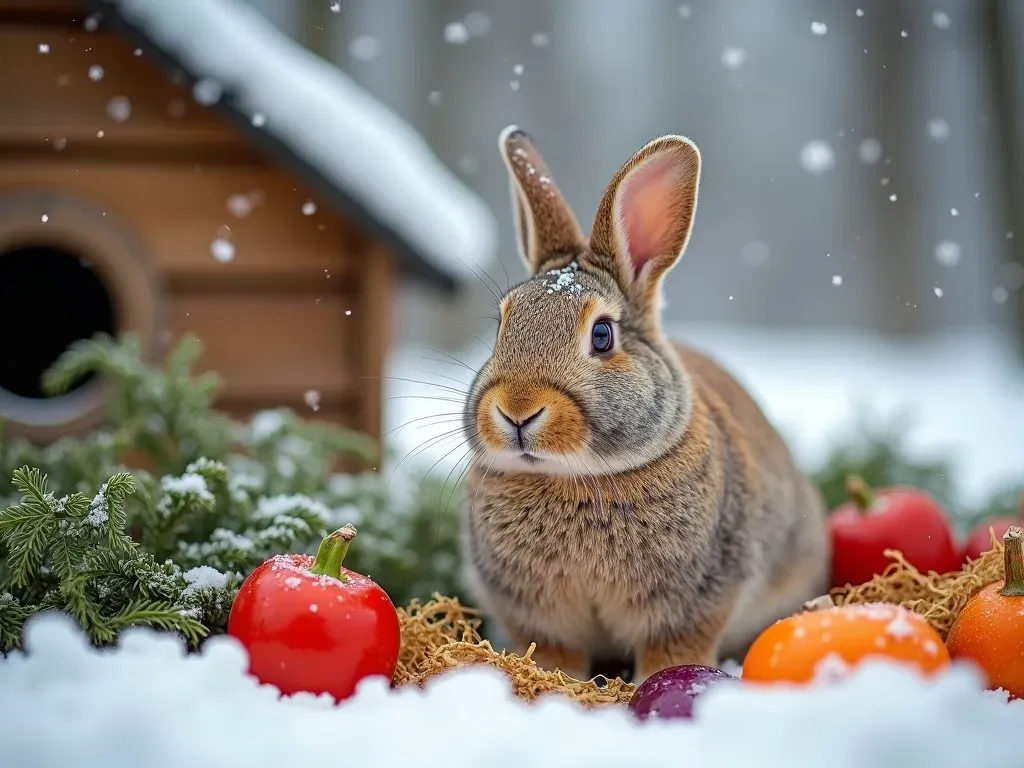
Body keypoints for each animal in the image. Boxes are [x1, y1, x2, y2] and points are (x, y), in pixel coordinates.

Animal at [460, 126, 827, 684]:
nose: (517, 411)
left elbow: (669, 654)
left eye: (602, 335)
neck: (575, 478)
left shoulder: (690, 605)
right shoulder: (539, 617)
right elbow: (554, 656)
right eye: (502, 325)